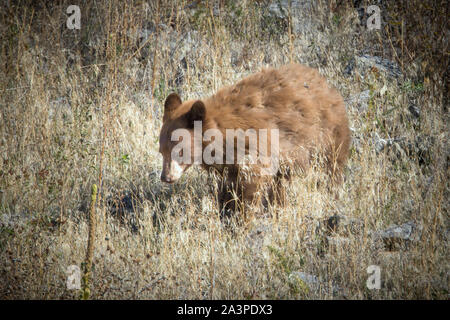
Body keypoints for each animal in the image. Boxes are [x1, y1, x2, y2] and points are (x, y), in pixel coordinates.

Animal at [159, 64, 352, 220]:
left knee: (332, 168)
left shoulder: (254, 147)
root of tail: (324, 81)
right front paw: (226, 211)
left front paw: (244, 219)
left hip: (328, 134)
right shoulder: (225, 166)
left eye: (180, 151)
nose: (166, 177)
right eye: (162, 151)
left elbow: (252, 184)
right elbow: (225, 188)